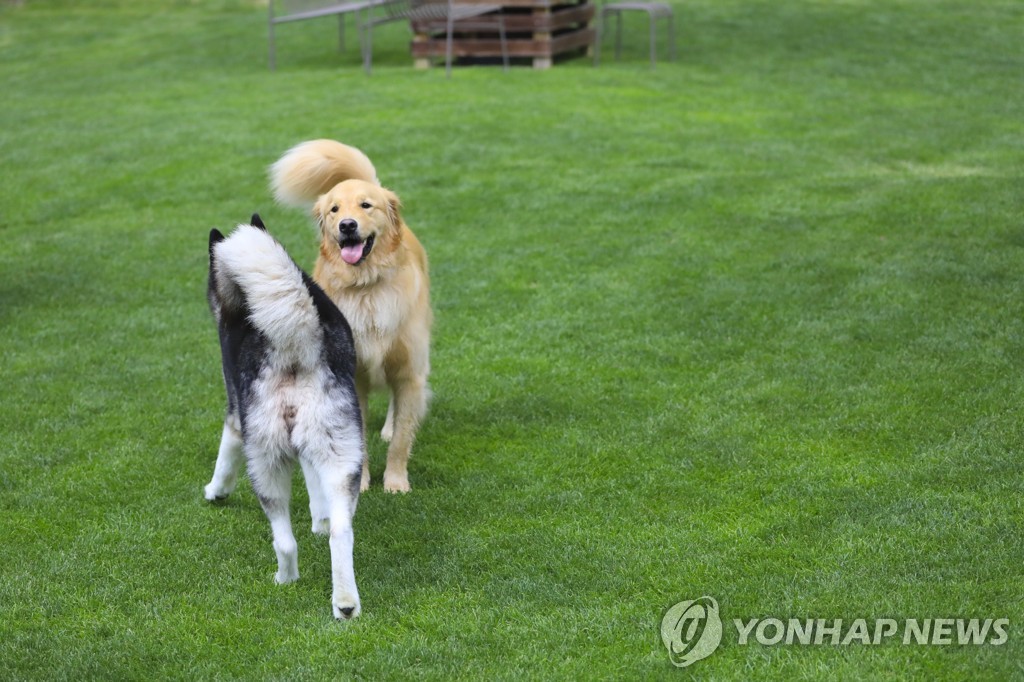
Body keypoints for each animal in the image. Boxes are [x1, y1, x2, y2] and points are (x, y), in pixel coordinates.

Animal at [202, 215, 364, 618]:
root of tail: (294, 348)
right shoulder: (310, 450)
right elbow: (315, 488)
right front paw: (319, 520)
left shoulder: (236, 416)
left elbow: (224, 455)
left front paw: (215, 491)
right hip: (340, 455)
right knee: (341, 533)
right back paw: (346, 604)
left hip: (264, 464)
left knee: (284, 540)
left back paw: (285, 578)